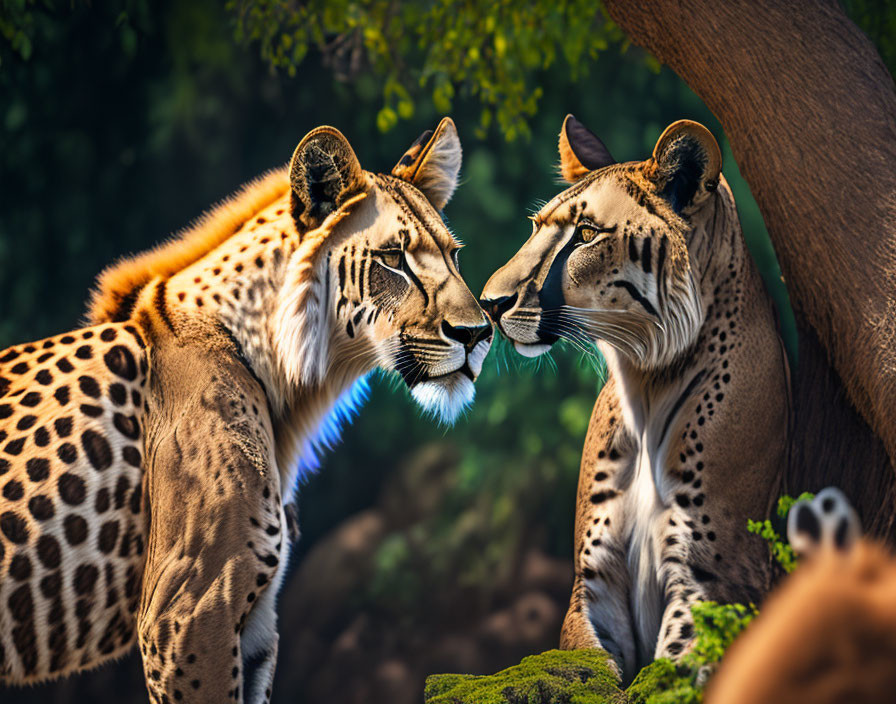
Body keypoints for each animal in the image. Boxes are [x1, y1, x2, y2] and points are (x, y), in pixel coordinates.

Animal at [0, 118, 490, 700]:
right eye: (394, 259)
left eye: (454, 256)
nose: (478, 334)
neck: (290, 382)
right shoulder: (189, 610)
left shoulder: (253, 620)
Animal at [484, 117, 792, 680]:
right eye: (535, 228)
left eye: (586, 235)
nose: (491, 303)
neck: (644, 381)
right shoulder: (592, 583)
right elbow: (589, 669)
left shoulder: (714, 582)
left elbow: (673, 673)